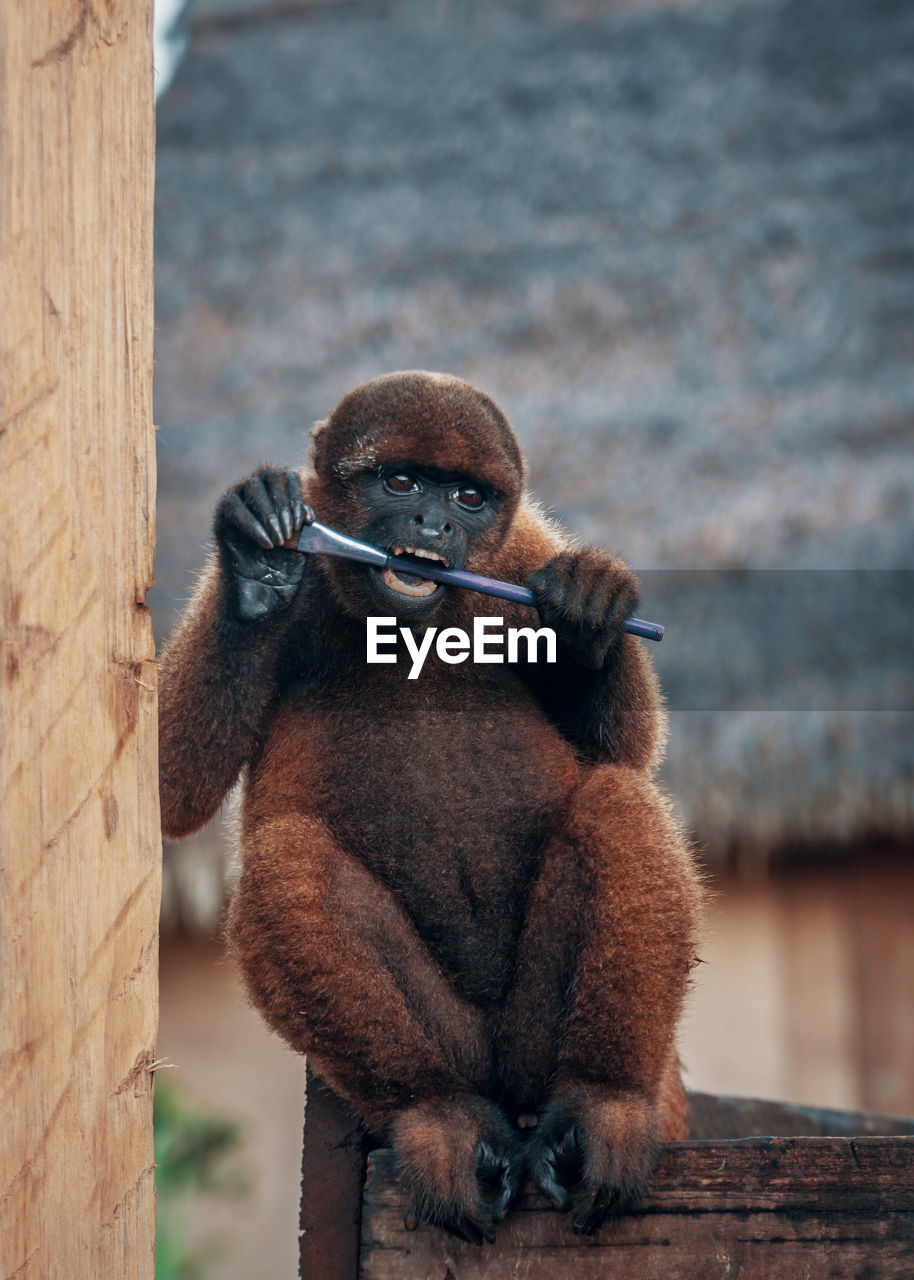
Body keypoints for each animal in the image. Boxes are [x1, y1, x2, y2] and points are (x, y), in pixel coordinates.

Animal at [158, 368, 696, 1239]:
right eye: (400, 481)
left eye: (469, 497)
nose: (433, 521)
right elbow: (175, 785)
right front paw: (256, 561)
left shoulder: (524, 554)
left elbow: (628, 749)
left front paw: (590, 614)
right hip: (461, 1047)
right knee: (286, 858)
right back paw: (439, 1114)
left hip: (538, 1040)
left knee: (617, 796)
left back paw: (601, 1102)